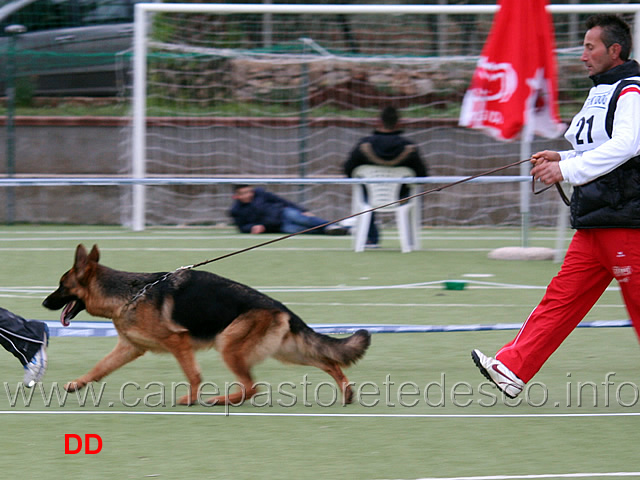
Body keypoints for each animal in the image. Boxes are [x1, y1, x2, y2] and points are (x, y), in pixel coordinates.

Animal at [43, 244, 370, 404]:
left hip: (229, 345)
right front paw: (77, 384)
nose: (44, 304)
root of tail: (280, 307)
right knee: (329, 362)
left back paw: (221, 400)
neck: (129, 292)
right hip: (286, 351)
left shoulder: (178, 343)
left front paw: (190, 399)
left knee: (252, 387)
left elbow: (194, 375)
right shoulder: (129, 348)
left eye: (61, 286)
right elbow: (99, 368)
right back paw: (346, 392)